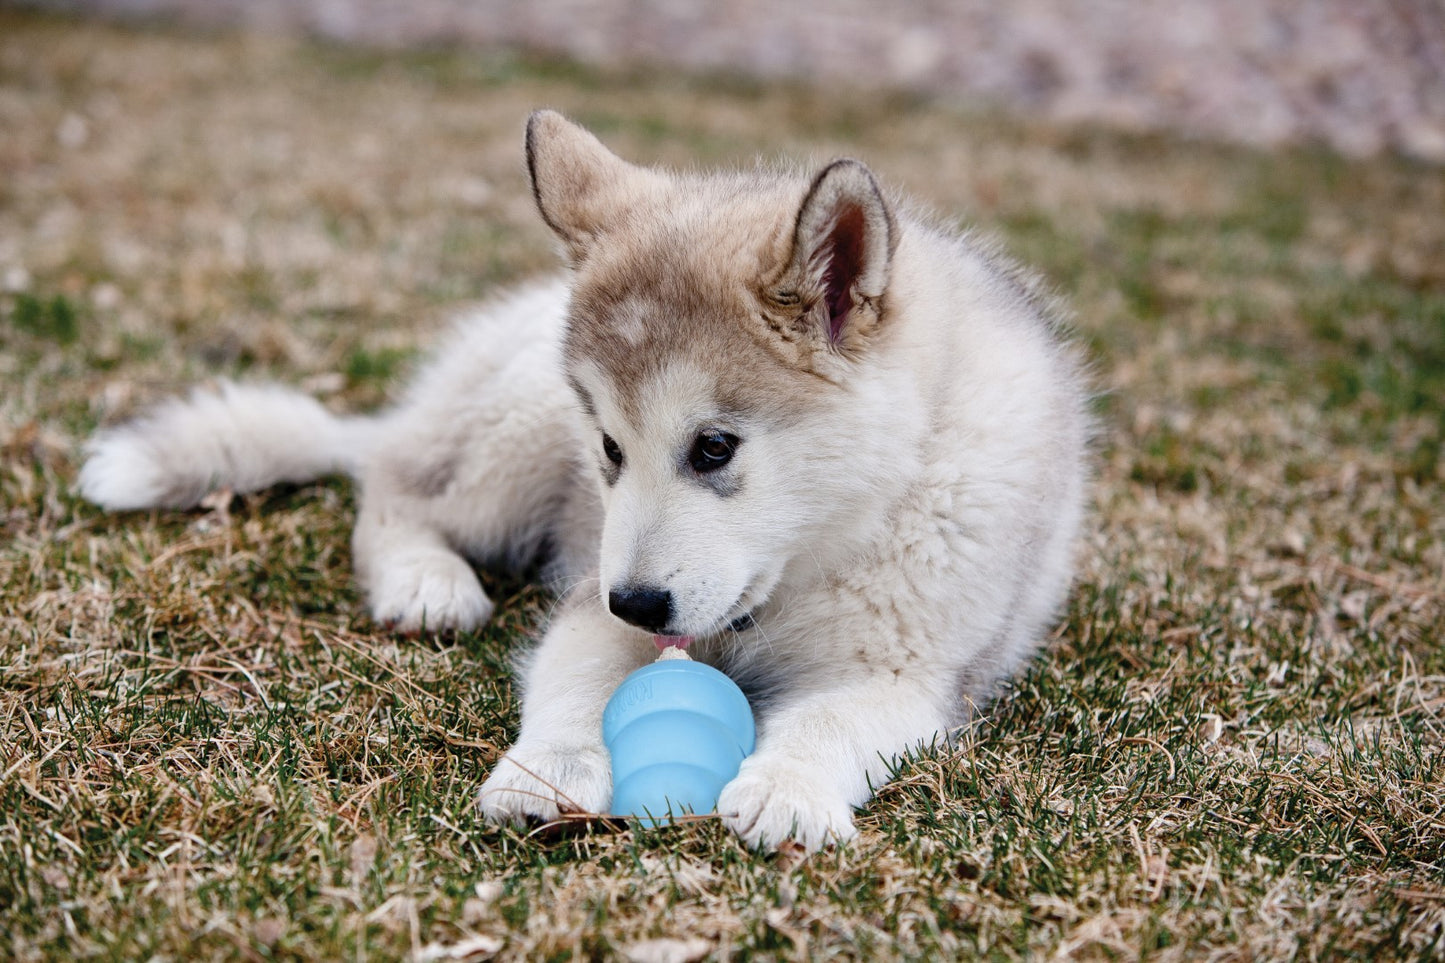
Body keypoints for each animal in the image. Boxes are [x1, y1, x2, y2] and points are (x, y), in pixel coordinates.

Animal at [79, 114, 1086, 850]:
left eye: (713, 447)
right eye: (608, 447)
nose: (636, 602)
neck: (826, 544)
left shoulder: (912, 675)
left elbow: (830, 723)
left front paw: (787, 788)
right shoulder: (590, 593)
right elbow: (572, 684)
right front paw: (549, 773)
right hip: (514, 430)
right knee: (393, 487)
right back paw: (426, 581)